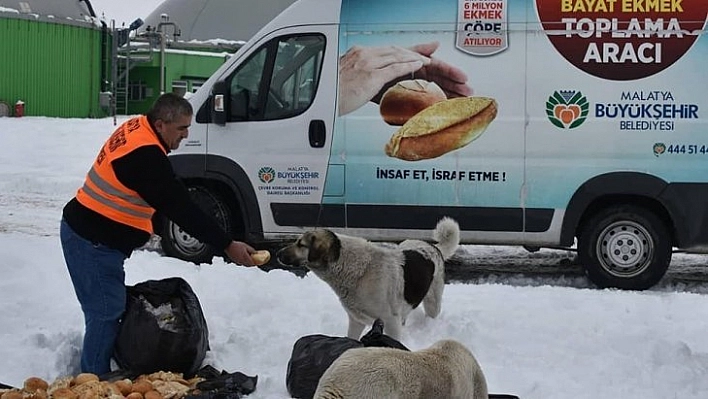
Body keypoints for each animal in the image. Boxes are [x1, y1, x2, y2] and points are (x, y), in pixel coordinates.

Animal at [274, 219, 462, 340]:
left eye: (301, 244)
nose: (277, 254)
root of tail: (434, 247)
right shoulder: (356, 321)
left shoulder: (390, 322)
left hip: (432, 303)